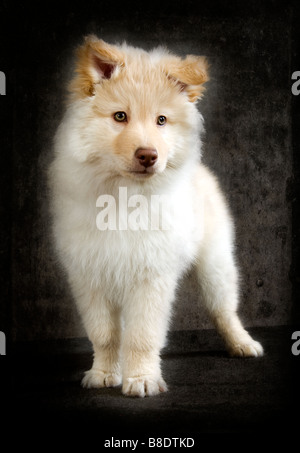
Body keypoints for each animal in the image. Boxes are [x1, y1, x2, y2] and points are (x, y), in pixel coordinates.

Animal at [48, 36, 262, 396]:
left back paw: (242, 344)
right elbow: (105, 334)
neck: (124, 196)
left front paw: (142, 379)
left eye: (162, 120)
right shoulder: (91, 275)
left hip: (216, 265)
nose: (148, 155)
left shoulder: (150, 276)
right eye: (120, 116)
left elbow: (142, 336)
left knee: (224, 309)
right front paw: (104, 373)